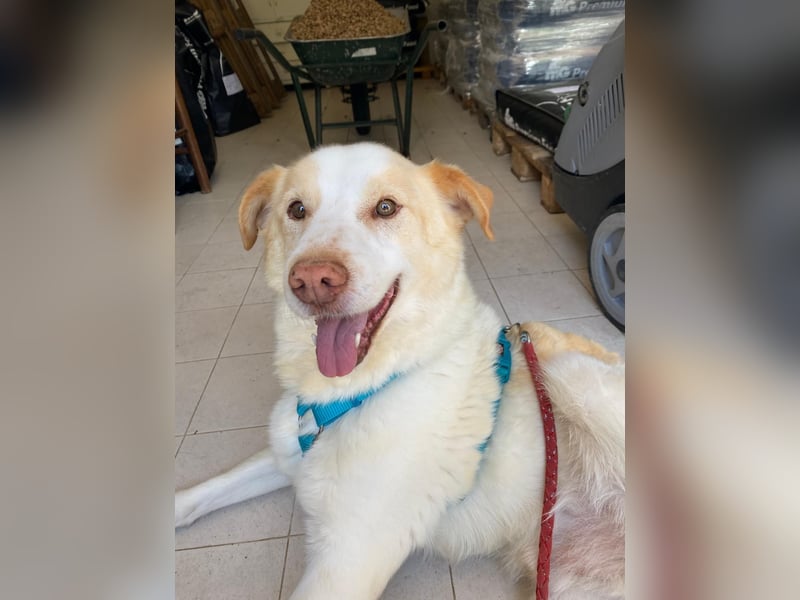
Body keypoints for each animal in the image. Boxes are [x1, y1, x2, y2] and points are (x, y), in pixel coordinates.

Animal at [175, 142, 625, 599]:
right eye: (297, 209)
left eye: (386, 208)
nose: (313, 280)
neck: (356, 391)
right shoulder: (288, 454)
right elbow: (201, 493)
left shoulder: (345, 563)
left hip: (568, 372)